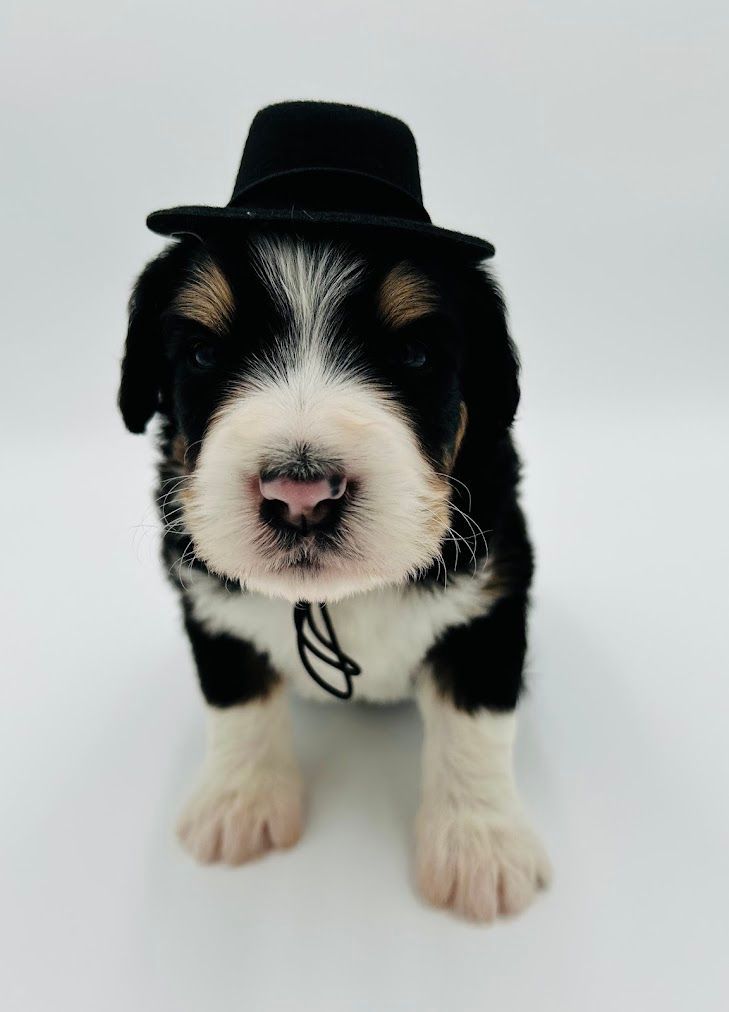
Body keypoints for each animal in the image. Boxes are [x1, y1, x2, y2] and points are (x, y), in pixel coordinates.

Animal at [120, 231, 550, 926]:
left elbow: (475, 725)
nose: (300, 493)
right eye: (204, 354)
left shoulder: (491, 599)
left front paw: (479, 848)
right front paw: (240, 802)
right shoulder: (208, 596)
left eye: (415, 353)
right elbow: (237, 699)